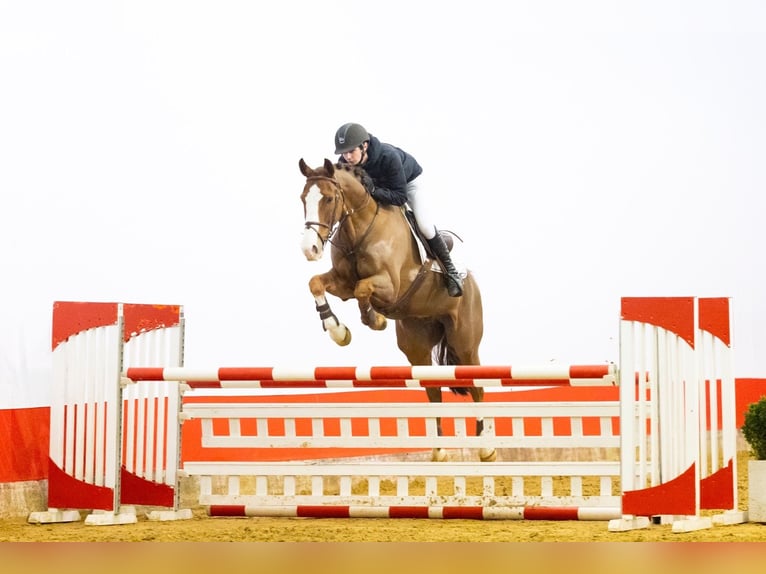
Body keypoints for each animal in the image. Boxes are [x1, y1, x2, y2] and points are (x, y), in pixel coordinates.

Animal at [298, 158, 494, 462]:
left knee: (477, 384)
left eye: (329, 198)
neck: (359, 228)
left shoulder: (389, 286)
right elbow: (316, 283)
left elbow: (363, 289)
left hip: (465, 343)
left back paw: (485, 448)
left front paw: (374, 319)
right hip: (416, 346)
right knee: (433, 388)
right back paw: (439, 450)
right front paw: (338, 330)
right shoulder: (341, 283)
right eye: (302, 199)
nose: (310, 249)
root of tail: (470, 279)